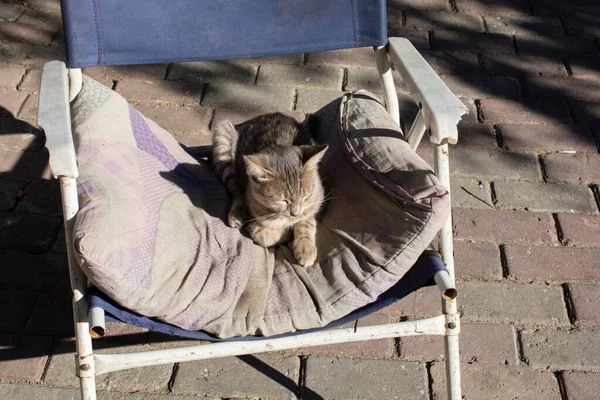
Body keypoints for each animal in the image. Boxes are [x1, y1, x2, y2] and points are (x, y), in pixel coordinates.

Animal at [212, 112, 328, 268]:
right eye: (283, 200)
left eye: (305, 196)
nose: (295, 213)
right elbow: (263, 234)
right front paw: (283, 233)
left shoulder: (317, 203)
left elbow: (306, 220)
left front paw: (305, 246)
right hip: (223, 139)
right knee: (236, 193)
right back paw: (236, 214)